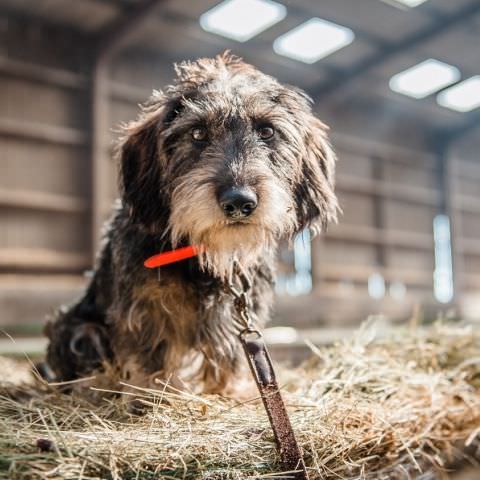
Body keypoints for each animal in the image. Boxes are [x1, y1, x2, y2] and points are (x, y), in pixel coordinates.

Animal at [45, 52, 338, 398]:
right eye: (197, 133)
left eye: (267, 131)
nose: (239, 201)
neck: (202, 256)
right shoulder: (145, 309)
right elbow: (151, 354)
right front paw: (152, 395)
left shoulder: (239, 312)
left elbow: (229, 355)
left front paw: (230, 392)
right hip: (79, 329)